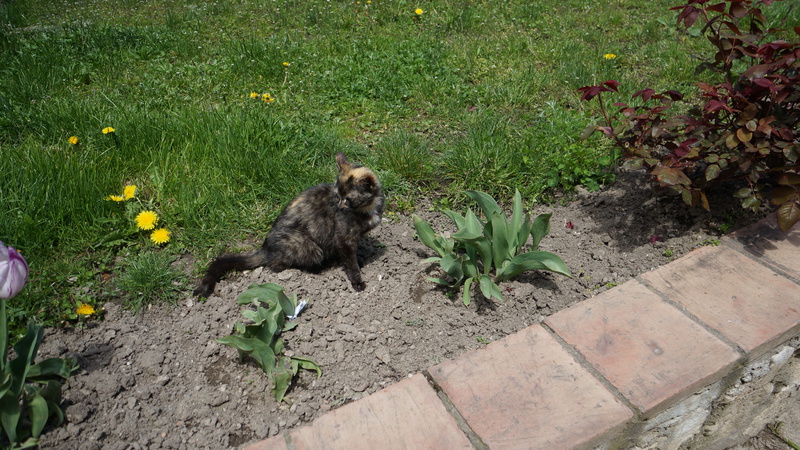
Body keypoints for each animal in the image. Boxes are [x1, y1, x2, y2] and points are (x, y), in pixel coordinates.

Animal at [193, 152, 384, 297]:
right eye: (338, 195)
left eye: (348, 199)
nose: (338, 206)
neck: (367, 208)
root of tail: (265, 247)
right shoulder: (343, 238)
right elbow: (350, 262)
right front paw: (357, 281)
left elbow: (352, 255)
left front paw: (360, 260)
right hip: (306, 246)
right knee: (275, 265)